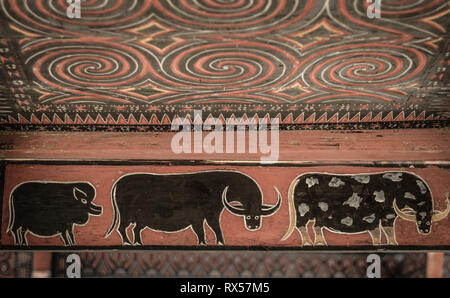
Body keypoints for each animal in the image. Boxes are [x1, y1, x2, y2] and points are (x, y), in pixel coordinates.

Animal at [106, 171, 282, 246]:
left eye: (258, 216)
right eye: (249, 216)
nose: (253, 226)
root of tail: (119, 182)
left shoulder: (207, 215)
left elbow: (208, 229)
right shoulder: (203, 216)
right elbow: (209, 229)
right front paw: (213, 243)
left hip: (139, 220)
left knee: (135, 229)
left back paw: (137, 243)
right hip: (126, 215)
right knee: (122, 228)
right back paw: (128, 243)